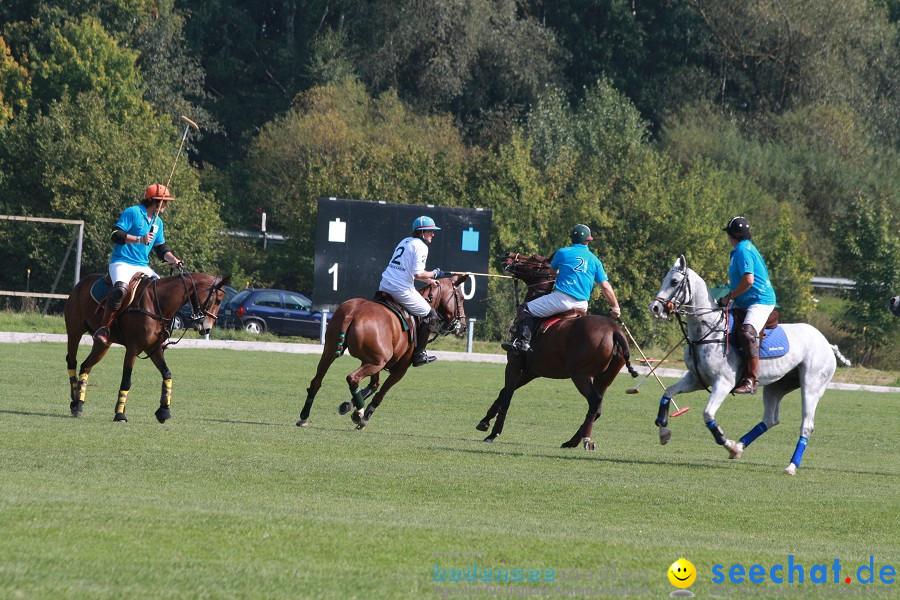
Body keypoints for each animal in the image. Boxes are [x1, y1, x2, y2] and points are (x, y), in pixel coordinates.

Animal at [64, 272, 230, 422]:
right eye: (218, 300)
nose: (207, 329)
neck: (158, 305)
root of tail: (81, 282)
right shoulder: (133, 348)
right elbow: (126, 380)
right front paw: (120, 414)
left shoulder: (153, 348)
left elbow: (166, 373)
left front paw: (164, 410)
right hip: (74, 330)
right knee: (72, 360)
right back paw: (73, 397)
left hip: (103, 343)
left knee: (86, 365)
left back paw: (78, 403)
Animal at [300, 274, 474, 428]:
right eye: (461, 298)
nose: (463, 327)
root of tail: (353, 313)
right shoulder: (399, 369)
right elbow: (381, 392)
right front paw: (363, 415)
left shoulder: (370, 360)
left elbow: (373, 385)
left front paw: (348, 405)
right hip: (377, 361)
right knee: (352, 378)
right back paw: (360, 414)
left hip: (332, 351)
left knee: (316, 381)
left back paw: (304, 417)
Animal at [474, 252, 636, 450]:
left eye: (534, 258)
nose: (508, 255)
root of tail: (614, 331)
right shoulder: (530, 371)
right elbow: (503, 392)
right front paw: (484, 422)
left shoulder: (513, 363)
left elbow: (507, 395)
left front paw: (493, 433)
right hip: (604, 378)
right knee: (597, 407)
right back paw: (572, 441)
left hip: (580, 374)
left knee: (594, 402)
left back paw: (585, 440)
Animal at [648, 255, 836, 476]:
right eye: (664, 279)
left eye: (674, 281)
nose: (655, 308)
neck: (708, 331)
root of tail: (827, 344)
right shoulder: (695, 379)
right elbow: (667, 392)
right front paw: (663, 432)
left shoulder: (723, 382)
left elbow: (708, 414)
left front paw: (726, 443)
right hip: (777, 386)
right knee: (771, 419)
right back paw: (740, 447)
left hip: (811, 385)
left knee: (806, 425)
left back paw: (790, 466)